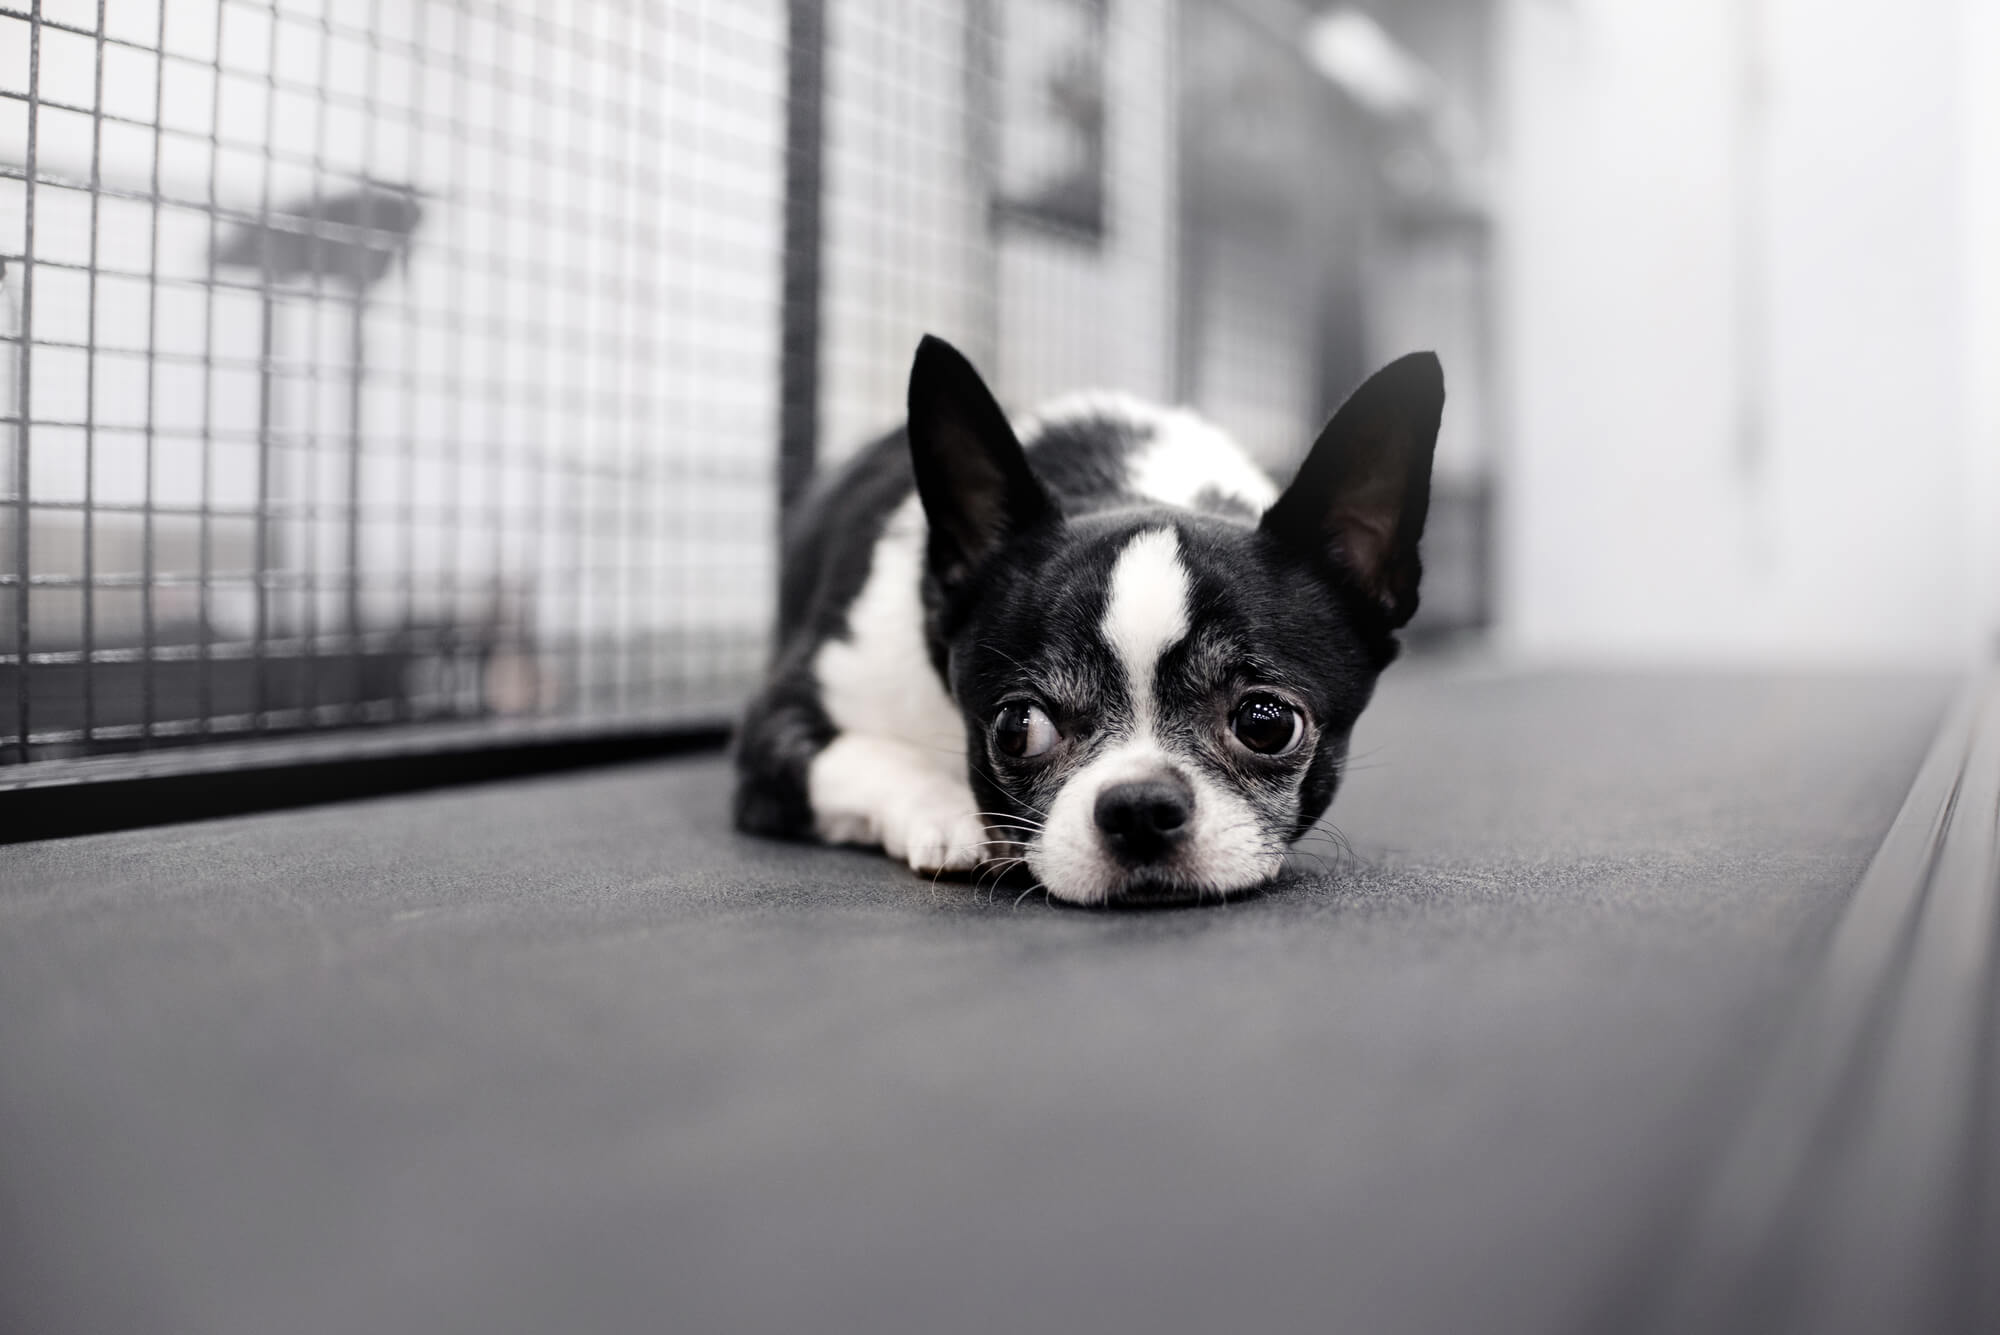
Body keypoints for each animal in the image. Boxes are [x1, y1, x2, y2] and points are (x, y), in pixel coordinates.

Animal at [736, 335, 1440, 907]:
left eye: (1266, 723)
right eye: (1018, 728)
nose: (1141, 805)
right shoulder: (774, 733)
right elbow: (867, 754)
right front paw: (950, 809)